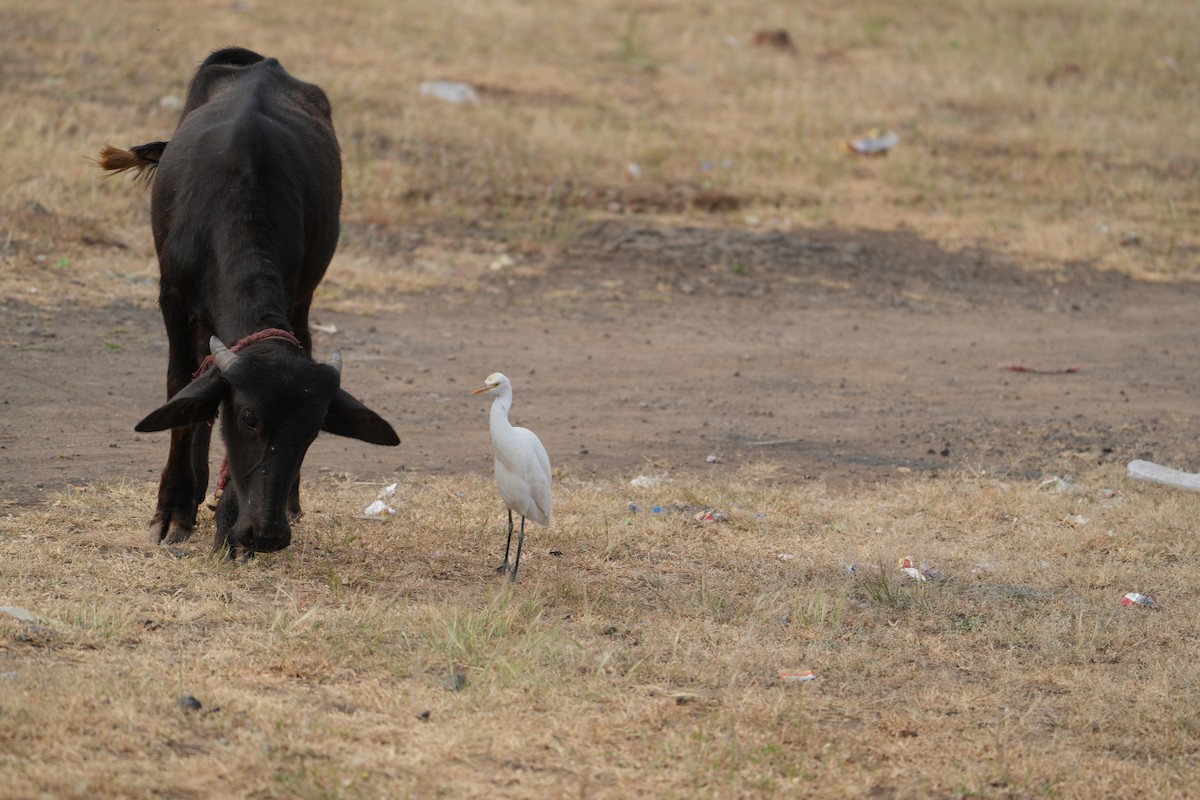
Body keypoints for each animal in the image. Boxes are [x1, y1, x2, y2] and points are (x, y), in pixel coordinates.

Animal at [99, 47, 398, 561]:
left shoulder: (297, 293)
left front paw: (231, 525)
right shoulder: (173, 298)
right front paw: (173, 510)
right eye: (249, 417)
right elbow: (183, 389)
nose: (269, 534)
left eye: (313, 429)